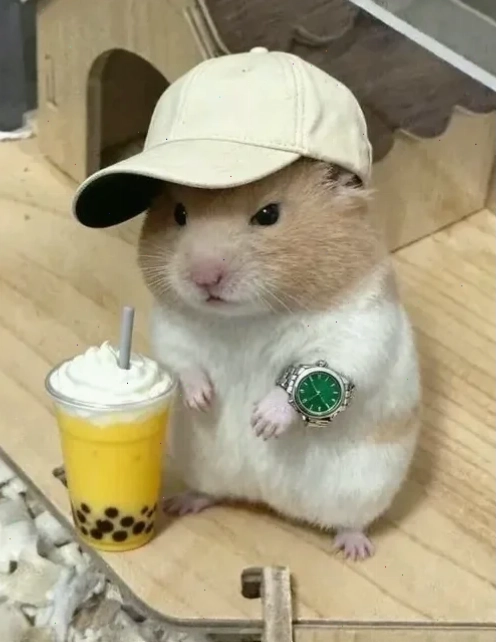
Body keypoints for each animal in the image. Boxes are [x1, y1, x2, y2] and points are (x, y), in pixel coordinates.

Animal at [138, 159, 421, 560]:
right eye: (179, 215)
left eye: (268, 215)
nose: (204, 278)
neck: (245, 318)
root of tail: (268, 499)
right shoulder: (169, 329)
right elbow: (182, 363)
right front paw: (203, 400)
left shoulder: (356, 332)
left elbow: (319, 370)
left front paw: (262, 424)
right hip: (201, 464)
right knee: (209, 491)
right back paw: (181, 503)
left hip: (365, 489)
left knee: (351, 522)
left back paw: (355, 549)